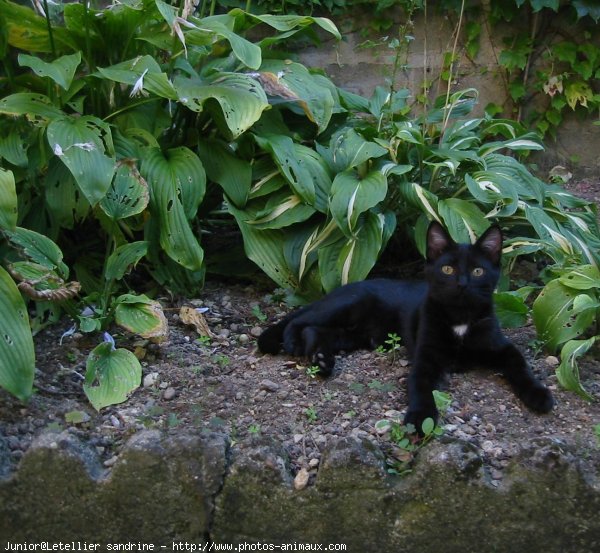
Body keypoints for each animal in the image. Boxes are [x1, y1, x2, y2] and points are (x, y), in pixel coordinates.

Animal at [258, 220, 552, 432]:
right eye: (447, 269)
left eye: (478, 271)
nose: (462, 284)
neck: (460, 319)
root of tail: (343, 287)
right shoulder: (426, 357)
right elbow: (420, 385)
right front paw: (421, 418)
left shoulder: (502, 346)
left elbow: (520, 365)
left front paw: (538, 394)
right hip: (346, 306)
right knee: (300, 320)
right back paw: (294, 343)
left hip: (354, 335)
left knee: (315, 330)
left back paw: (322, 360)